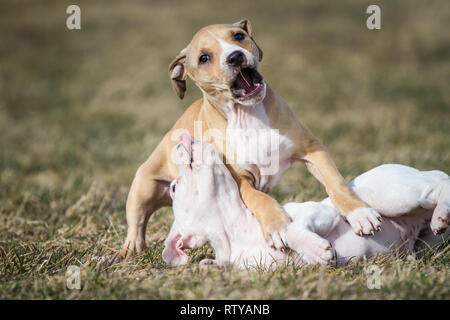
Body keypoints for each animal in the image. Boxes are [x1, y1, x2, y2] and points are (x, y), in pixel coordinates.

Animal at [118, 19, 382, 260]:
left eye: (238, 36)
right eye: (204, 58)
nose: (235, 57)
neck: (248, 115)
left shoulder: (312, 149)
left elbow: (335, 182)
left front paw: (360, 213)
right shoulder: (241, 180)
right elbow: (260, 199)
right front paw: (279, 227)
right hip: (142, 187)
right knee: (137, 223)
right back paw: (130, 250)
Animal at [163, 136, 448, 268]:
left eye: (173, 188)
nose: (181, 140)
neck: (235, 232)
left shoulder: (319, 211)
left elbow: (291, 230)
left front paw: (315, 249)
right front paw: (210, 266)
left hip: (391, 196)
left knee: (438, 185)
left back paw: (440, 215)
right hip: (425, 242)